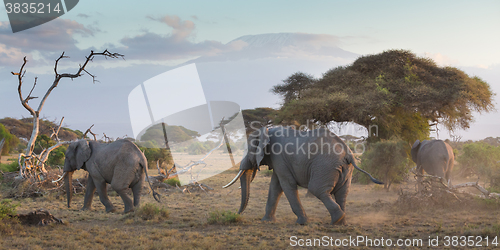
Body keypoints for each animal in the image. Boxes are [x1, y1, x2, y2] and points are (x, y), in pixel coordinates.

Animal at [223, 127, 382, 225]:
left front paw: (301, 222)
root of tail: (348, 153)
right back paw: (340, 223)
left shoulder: (279, 156)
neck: (266, 130)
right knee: (342, 193)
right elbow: (275, 186)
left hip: (325, 166)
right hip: (345, 170)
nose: (237, 214)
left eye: (248, 149)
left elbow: (286, 185)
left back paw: (337, 219)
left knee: (318, 190)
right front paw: (266, 221)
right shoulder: (279, 161)